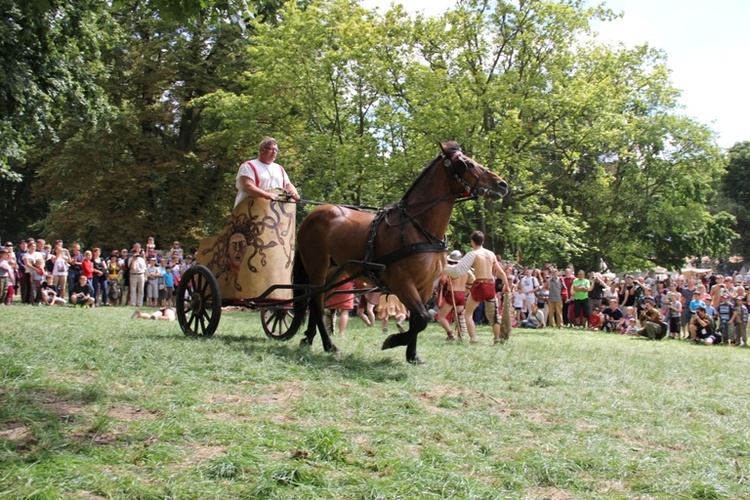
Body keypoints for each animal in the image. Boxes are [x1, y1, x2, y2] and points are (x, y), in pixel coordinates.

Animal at [290, 141, 508, 364]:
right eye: (467, 164)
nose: (502, 185)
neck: (417, 226)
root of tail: (311, 215)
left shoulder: (425, 285)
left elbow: (418, 319)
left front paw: (412, 355)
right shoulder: (401, 282)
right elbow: (422, 318)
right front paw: (393, 340)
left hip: (334, 273)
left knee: (316, 301)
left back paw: (309, 338)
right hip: (317, 267)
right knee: (316, 303)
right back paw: (329, 345)